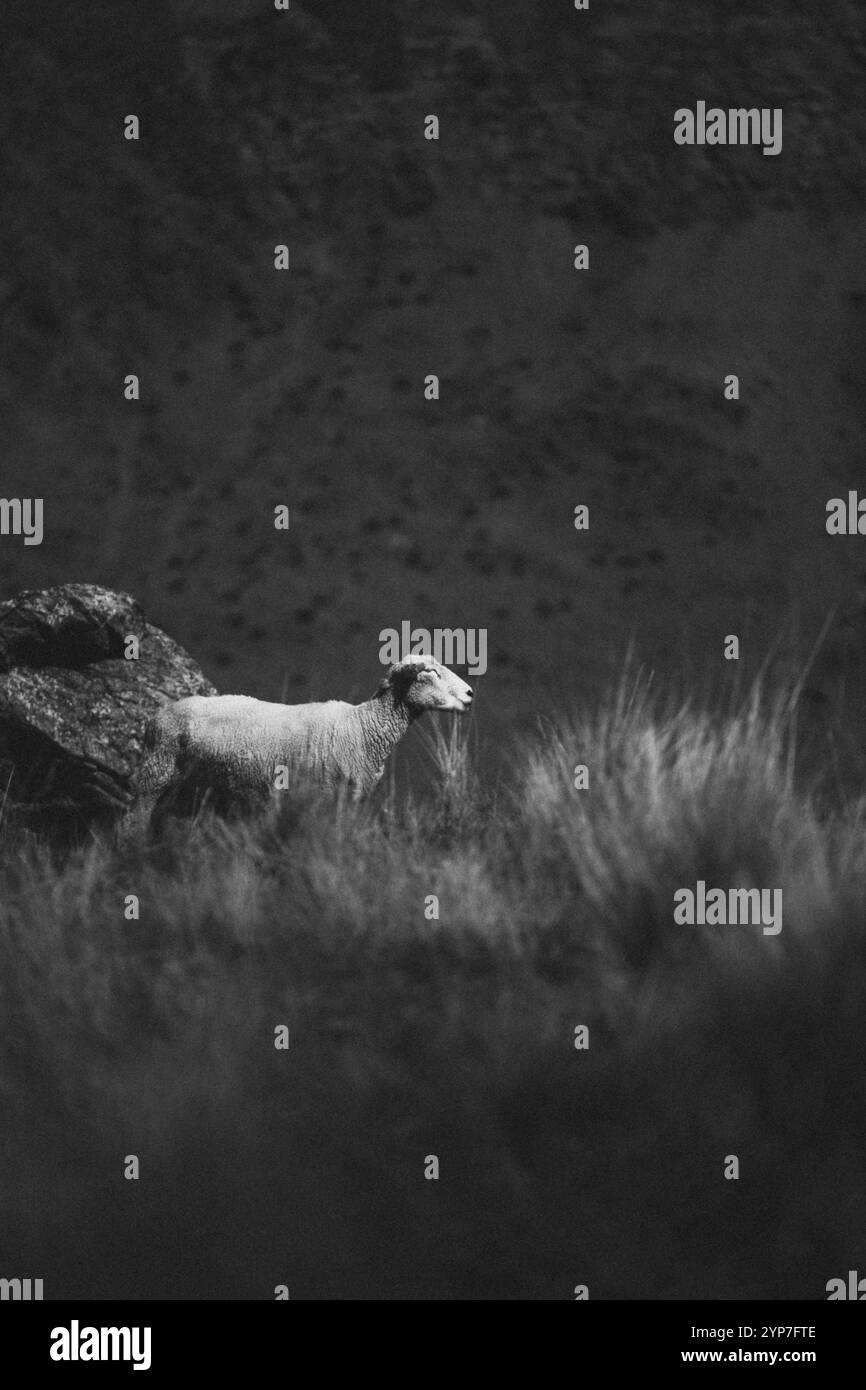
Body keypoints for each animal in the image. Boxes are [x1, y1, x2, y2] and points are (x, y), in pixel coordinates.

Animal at [128, 650, 475, 822]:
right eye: (431, 673)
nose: (471, 694)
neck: (362, 727)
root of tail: (159, 713)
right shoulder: (322, 797)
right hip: (154, 776)